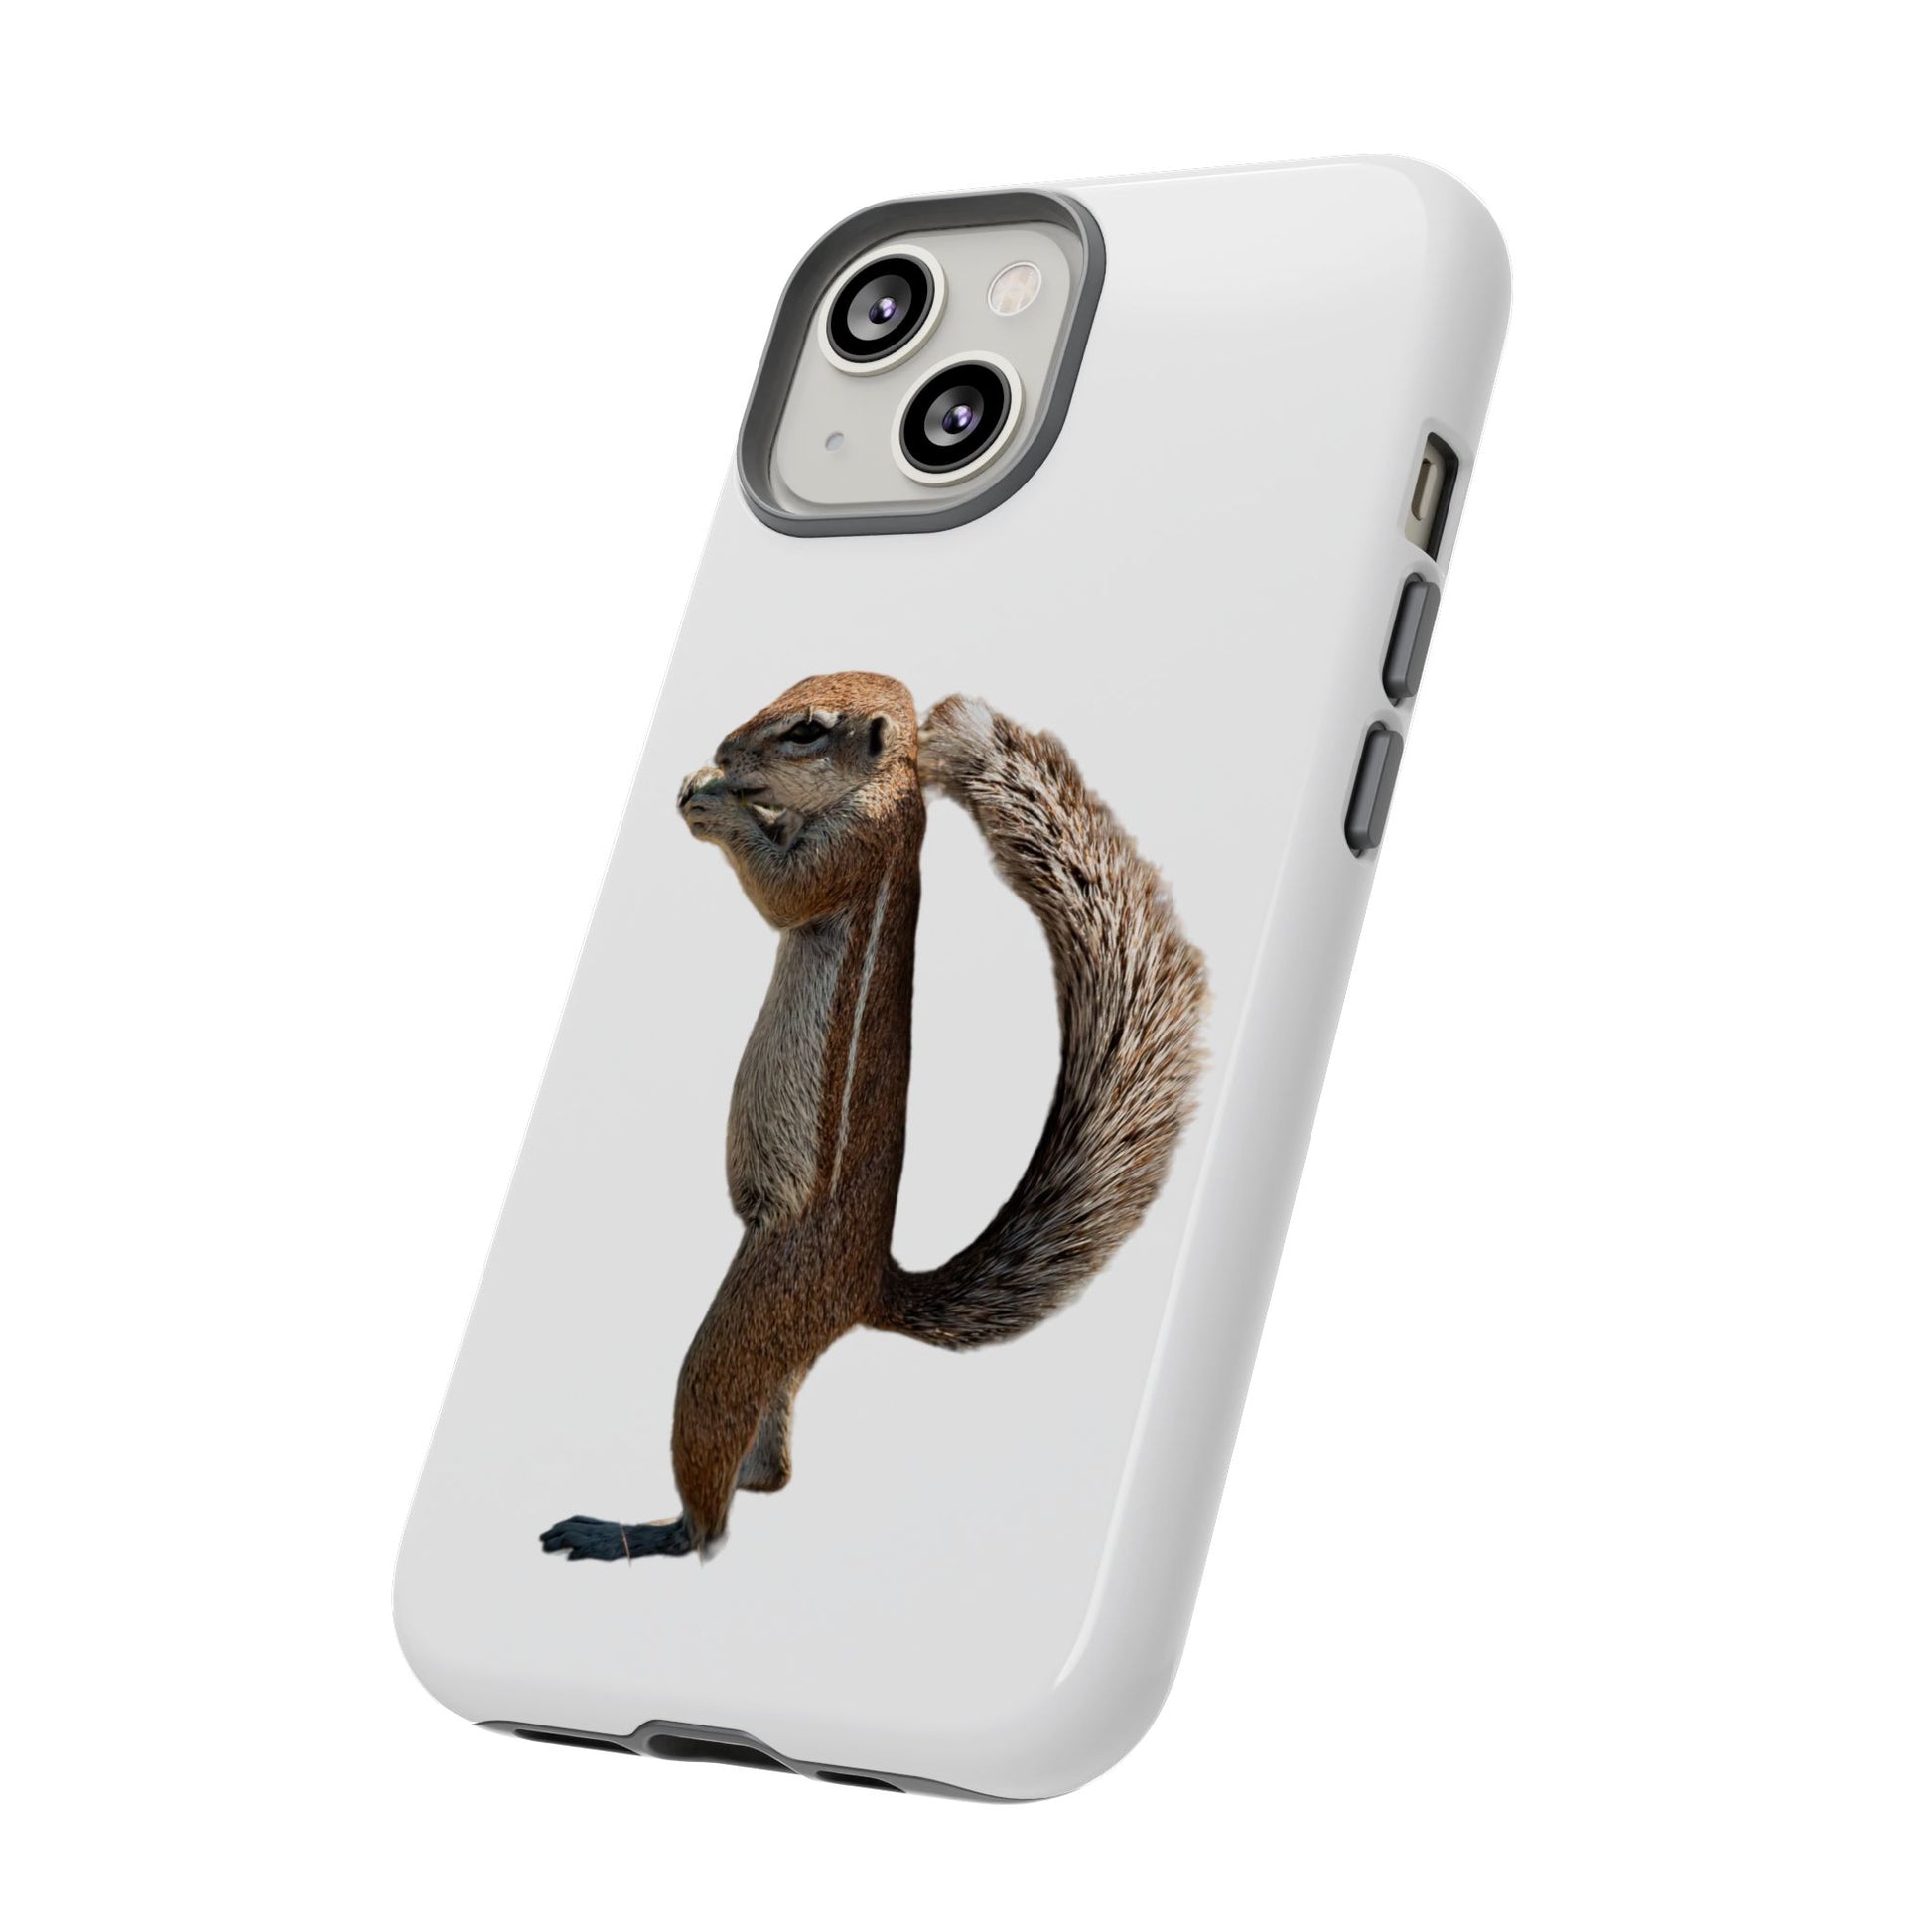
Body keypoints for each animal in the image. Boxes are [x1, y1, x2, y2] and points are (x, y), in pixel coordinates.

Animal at [541, 671, 1208, 1561]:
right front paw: (707, 785)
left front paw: (713, 803)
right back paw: (750, 1480)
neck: (886, 794)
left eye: (806, 729)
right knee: (776, 1454)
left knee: (712, 1494)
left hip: (756, 1308)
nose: (721, 752)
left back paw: (641, 1531)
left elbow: (781, 891)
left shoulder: (853, 849)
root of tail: (865, 1286)